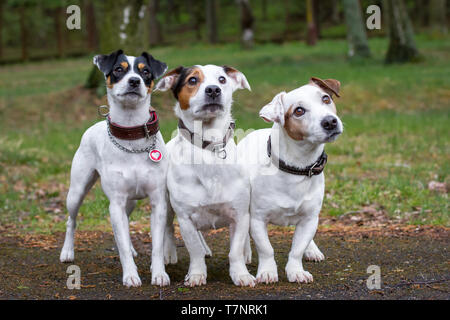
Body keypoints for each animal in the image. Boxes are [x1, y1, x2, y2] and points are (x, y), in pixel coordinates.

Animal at [60, 49, 172, 288]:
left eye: (145, 72)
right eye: (119, 69)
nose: (134, 81)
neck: (132, 137)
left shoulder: (158, 202)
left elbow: (157, 245)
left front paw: (159, 273)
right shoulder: (116, 203)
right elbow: (121, 244)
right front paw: (130, 275)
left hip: (130, 202)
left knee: (126, 222)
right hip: (77, 191)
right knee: (71, 220)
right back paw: (67, 251)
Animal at [156, 64, 256, 288]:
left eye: (222, 79)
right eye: (192, 80)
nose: (213, 90)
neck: (208, 147)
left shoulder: (239, 214)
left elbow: (235, 251)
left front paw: (240, 274)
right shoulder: (185, 217)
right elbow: (193, 250)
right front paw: (196, 274)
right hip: (167, 206)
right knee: (168, 228)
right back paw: (169, 253)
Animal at [237, 77, 342, 282]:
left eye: (325, 99)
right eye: (298, 111)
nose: (330, 121)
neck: (298, 168)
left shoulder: (309, 219)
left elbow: (297, 249)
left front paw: (296, 271)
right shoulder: (257, 219)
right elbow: (266, 249)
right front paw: (267, 272)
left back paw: (312, 249)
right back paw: (245, 253)